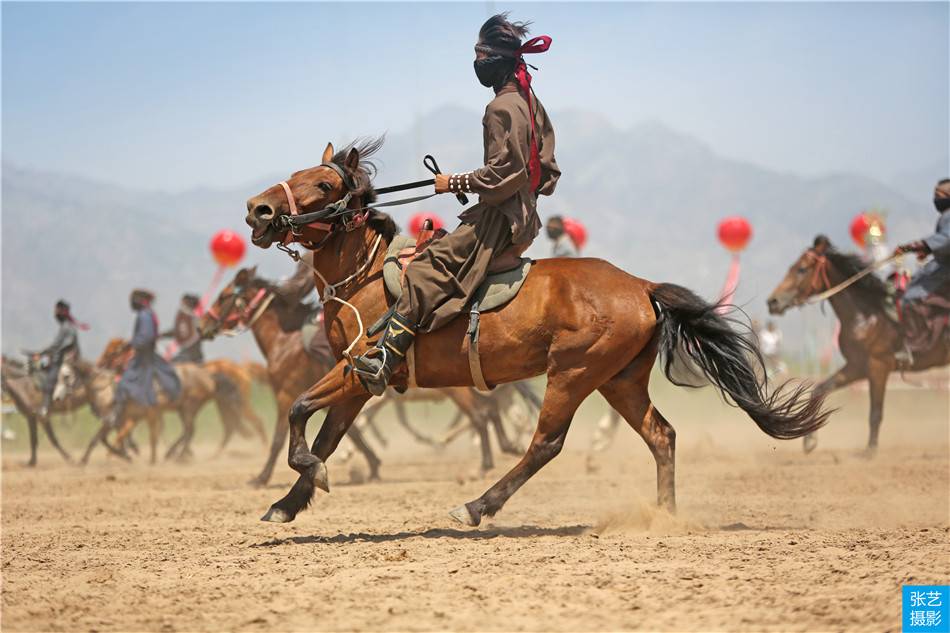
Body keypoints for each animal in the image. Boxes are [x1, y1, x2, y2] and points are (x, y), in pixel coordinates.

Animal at [245, 141, 832, 524]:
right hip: (618, 380)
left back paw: (477, 506)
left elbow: (298, 410)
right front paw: (289, 502)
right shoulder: (359, 381)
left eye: (323, 184)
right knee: (661, 435)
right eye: (296, 173)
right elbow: (325, 434)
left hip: (572, 374)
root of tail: (641, 285)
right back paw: (664, 516)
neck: (365, 279)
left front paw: (308, 477)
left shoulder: (356, 371)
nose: (258, 208)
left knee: (545, 443)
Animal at [768, 235, 948, 452]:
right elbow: (820, 389)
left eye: (802, 269)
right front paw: (810, 440)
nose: (773, 301)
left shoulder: (879, 365)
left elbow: (875, 412)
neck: (866, 315)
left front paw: (870, 450)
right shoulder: (857, 366)